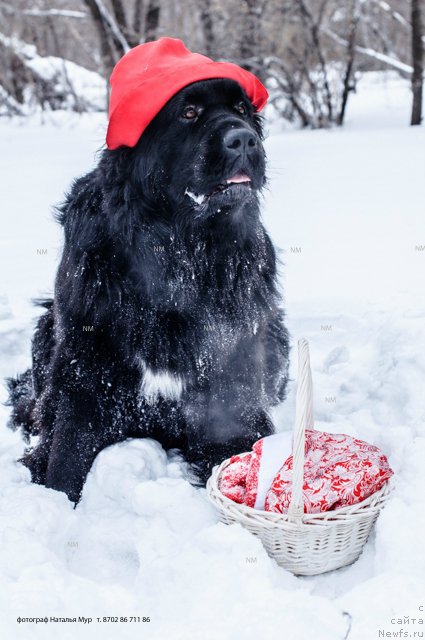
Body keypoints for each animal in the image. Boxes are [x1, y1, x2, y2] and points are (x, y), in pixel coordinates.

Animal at [6, 77, 290, 502]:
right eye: (188, 112)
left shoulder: (231, 390)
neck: (179, 251)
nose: (243, 139)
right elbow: (63, 460)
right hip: (47, 330)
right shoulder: (84, 375)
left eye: (241, 109)